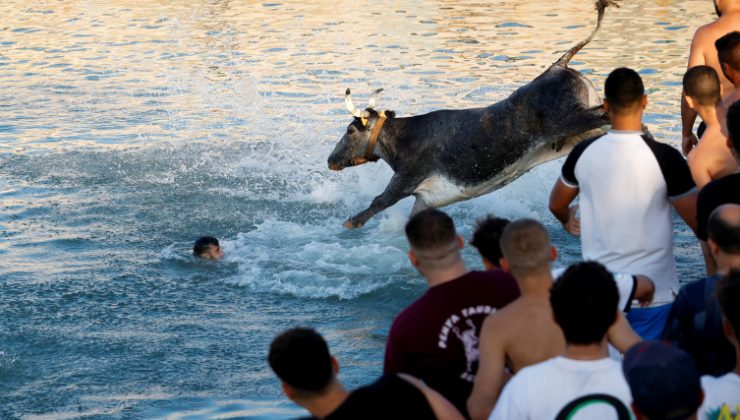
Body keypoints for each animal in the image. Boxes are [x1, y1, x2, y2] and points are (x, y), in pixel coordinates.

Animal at [330, 0, 620, 230]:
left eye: (350, 130)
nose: (331, 160)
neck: (402, 138)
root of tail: (558, 66)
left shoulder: (405, 179)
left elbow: (380, 200)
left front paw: (351, 222)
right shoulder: (424, 199)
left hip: (572, 120)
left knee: (608, 115)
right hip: (582, 128)